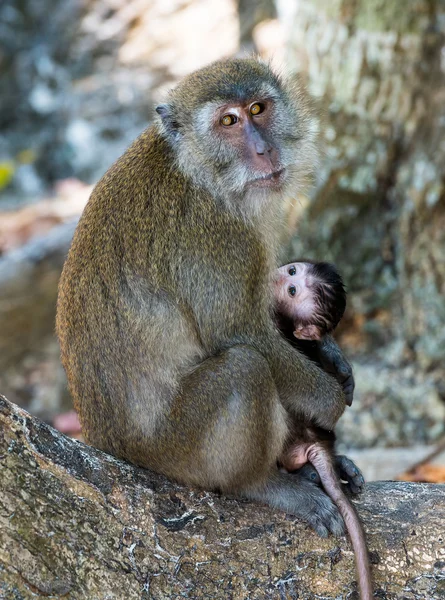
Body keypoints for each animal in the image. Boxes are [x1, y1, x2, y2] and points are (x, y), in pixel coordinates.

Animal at [56, 59, 354, 536]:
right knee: (245, 368)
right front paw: (328, 402)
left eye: (258, 109)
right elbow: (240, 332)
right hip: (177, 448)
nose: (264, 150)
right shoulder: (218, 239)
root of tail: (107, 444)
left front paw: (331, 355)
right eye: (228, 122)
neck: (200, 173)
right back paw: (263, 483)